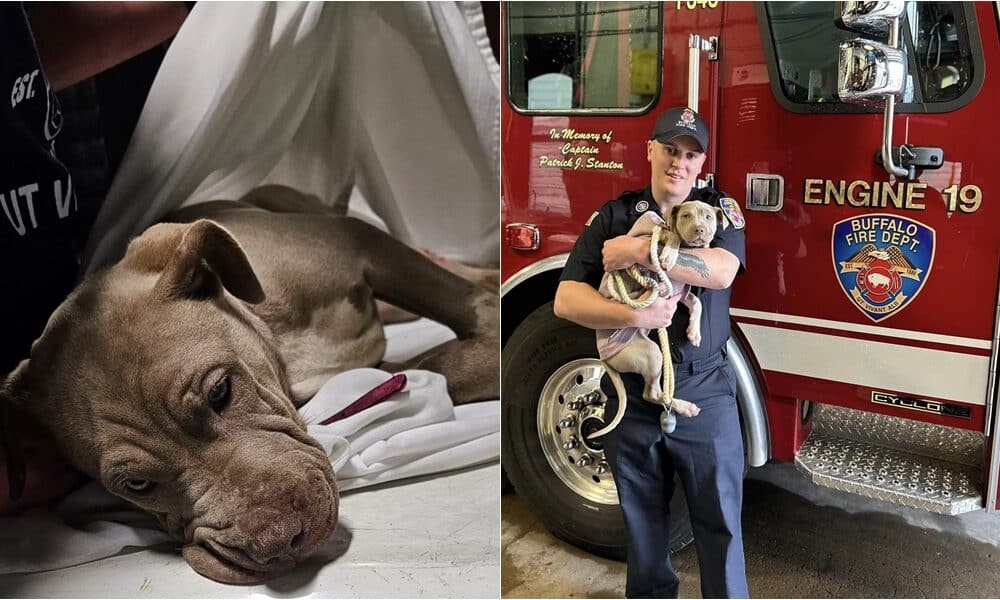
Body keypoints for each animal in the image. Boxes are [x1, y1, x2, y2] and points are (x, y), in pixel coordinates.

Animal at [556, 105, 752, 596]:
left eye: (710, 217)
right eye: (689, 218)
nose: (700, 233)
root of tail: (605, 358)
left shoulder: (683, 293)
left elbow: (697, 301)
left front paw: (697, 333)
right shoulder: (651, 244)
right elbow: (657, 245)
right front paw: (664, 251)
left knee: (654, 392)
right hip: (648, 354)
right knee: (652, 392)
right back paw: (683, 403)